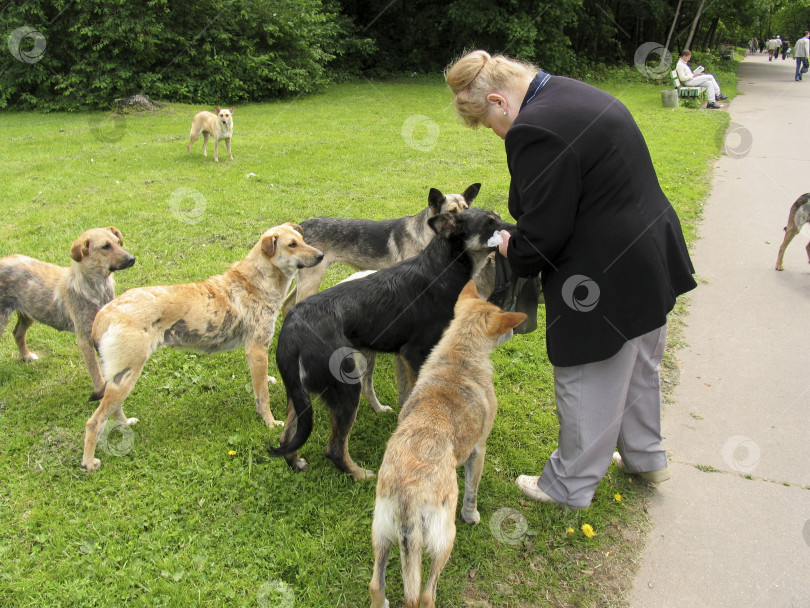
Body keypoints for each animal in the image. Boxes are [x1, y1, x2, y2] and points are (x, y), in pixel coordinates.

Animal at [0, 226, 136, 396]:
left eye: (118, 242)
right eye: (105, 247)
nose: (132, 259)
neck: (97, 288)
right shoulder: (84, 339)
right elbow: (96, 371)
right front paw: (101, 393)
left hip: (29, 312)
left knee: (18, 332)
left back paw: (26, 356)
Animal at [81, 223, 322, 470]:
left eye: (303, 240)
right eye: (292, 245)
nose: (321, 255)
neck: (257, 280)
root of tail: (105, 313)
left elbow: (262, 383)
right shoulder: (257, 349)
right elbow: (262, 395)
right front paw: (270, 422)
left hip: (119, 378)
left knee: (112, 411)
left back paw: (125, 425)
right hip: (127, 376)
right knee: (94, 422)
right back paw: (89, 462)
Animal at [370, 282, 528, 608]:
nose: (516, 329)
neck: (460, 354)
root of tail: (408, 494)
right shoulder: (478, 451)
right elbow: (472, 492)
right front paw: (472, 515)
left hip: (381, 534)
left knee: (376, 586)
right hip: (443, 540)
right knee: (426, 594)